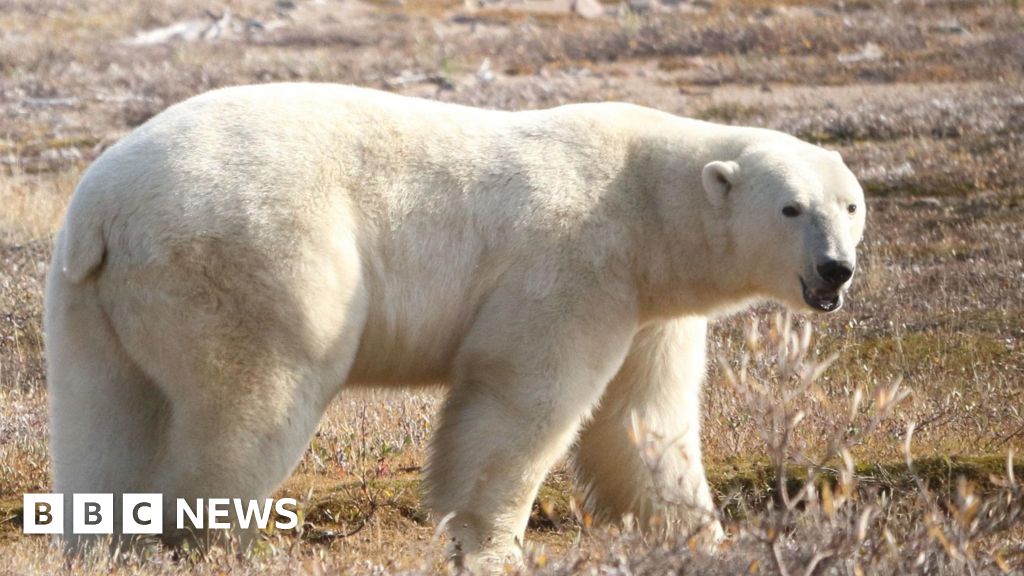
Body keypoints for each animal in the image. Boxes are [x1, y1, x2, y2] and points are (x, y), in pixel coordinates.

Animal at [44, 83, 865, 569]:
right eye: (791, 207)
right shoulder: (574, 263)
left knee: (105, 418)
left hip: (91, 302)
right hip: (252, 258)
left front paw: (703, 537)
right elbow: (524, 399)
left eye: (850, 204)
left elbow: (642, 420)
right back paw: (207, 541)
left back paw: (102, 541)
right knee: (250, 402)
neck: (645, 202)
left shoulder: (650, 307)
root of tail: (105, 210)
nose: (835, 270)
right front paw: (492, 546)